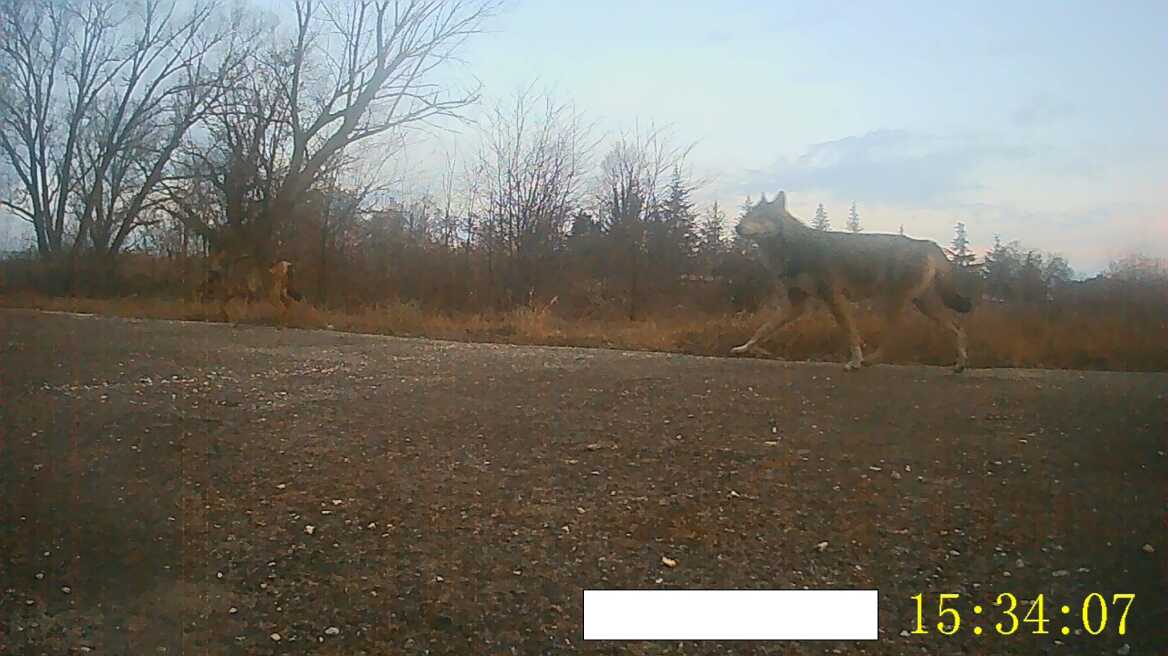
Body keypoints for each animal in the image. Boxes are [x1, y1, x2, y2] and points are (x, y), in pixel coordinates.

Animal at [733, 191, 971, 371]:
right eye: (747, 215)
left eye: (759, 216)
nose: (737, 228)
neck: (792, 249)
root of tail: (926, 243)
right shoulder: (796, 305)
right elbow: (762, 329)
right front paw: (744, 348)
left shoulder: (834, 298)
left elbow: (850, 333)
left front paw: (855, 361)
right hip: (922, 304)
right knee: (957, 328)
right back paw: (959, 365)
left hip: (893, 303)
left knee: (896, 335)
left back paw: (870, 360)